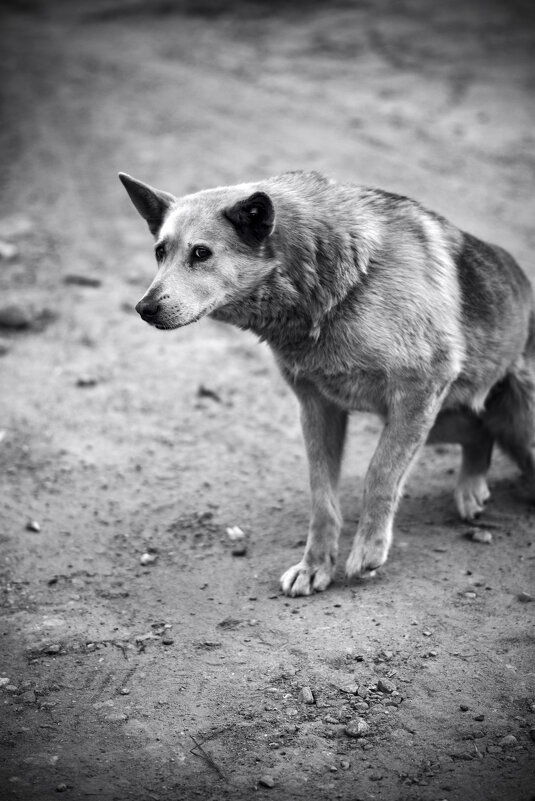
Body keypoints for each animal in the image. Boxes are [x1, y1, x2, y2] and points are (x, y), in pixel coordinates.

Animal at [120, 169, 535, 592]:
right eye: (160, 252)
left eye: (201, 253)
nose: (143, 308)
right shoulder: (319, 407)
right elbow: (322, 497)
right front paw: (315, 565)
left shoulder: (418, 391)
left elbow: (380, 474)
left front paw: (368, 550)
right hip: (434, 423)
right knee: (480, 431)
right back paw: (471, 488)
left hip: (481, 424)